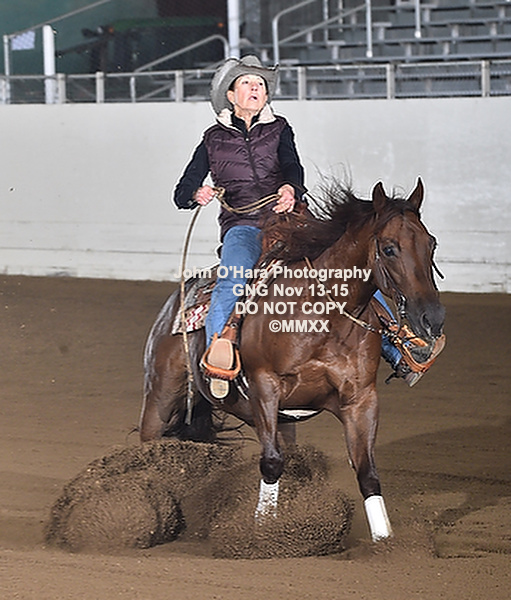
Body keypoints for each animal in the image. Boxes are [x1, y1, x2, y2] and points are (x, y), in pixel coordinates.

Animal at [139, 178, 445, 542]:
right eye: (388, 248)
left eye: (431, 244)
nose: (432, 318)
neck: (320, 317)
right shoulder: (264, 385)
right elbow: (272, 462)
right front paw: (264, 533)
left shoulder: (360, 399)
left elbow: (367, 472)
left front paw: (385, 542)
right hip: (161, 395)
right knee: (148, 448)